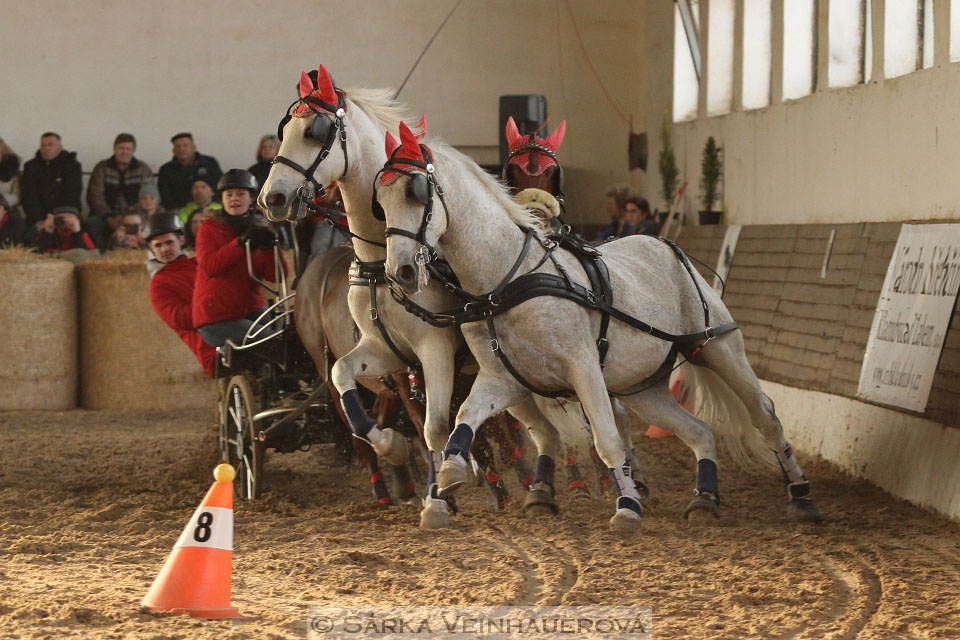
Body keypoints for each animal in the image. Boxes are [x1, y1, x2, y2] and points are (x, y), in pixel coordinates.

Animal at [258, 65, 640, 524]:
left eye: (316, 131)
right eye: (285, 130)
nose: (272, 198)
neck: (380, 263)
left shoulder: (434, 350)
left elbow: (439, 425)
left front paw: (448, 490)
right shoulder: (393, 359)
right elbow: (364, 390)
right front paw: (418, 466)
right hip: (325, 359)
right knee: (351, 417)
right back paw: (390, 486)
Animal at [376, 122, 824, 532]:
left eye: (416, 192)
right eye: (379, 199)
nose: (399, 271)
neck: (509, 276)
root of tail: (666, 245)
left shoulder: (583, 367)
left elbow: (607, 439)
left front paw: (627, 507)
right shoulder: (501, 377)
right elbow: (467, 416)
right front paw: (451, 473)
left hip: (718, 349)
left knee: (765, 416)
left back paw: (801, 495)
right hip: (643, 386)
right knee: (700, 432)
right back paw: (704, 499)